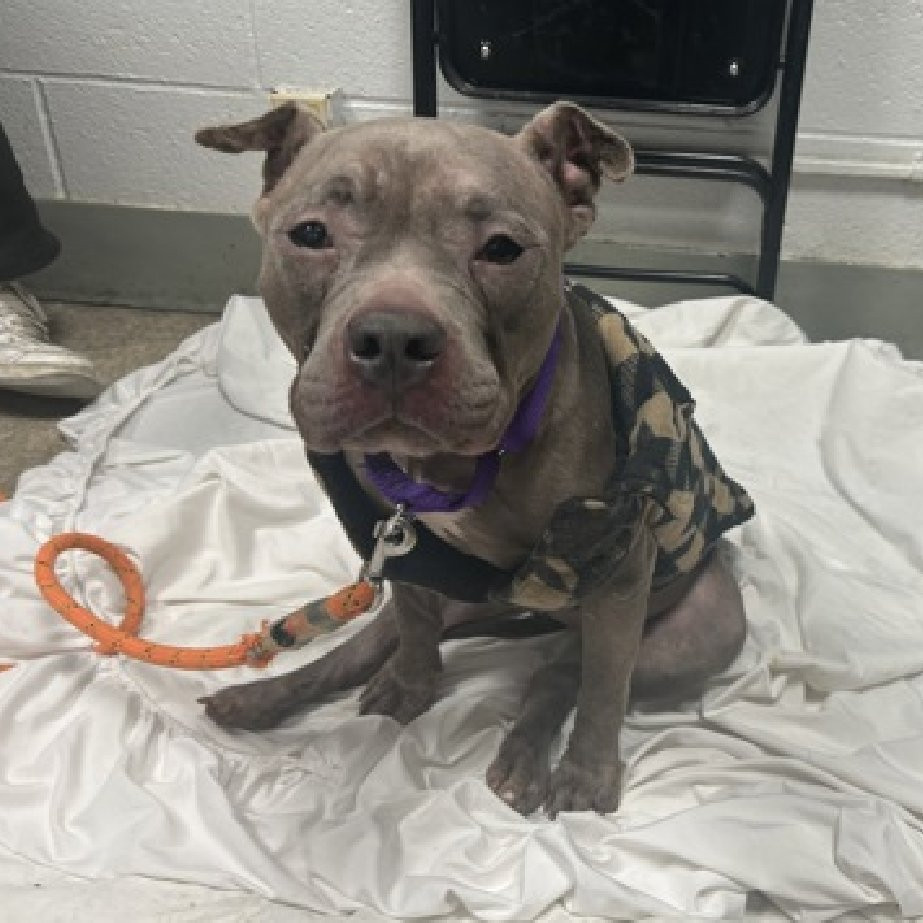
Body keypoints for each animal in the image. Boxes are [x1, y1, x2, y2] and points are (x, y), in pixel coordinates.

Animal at [195, 101, 753, 816]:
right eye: (311, 233)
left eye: (503, 249)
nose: (393, 338)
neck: (455, 467)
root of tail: (526, 615)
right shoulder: (408, 552)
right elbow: (411, 621)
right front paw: (411, 683)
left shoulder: (621, 569)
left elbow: (603, 693)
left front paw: (589, 772)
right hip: (460, 599)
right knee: (370, 644)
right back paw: (265, 695)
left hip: (693, 631)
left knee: (565, 673)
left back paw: (526, 756)